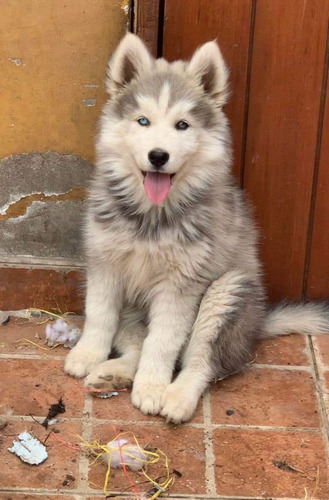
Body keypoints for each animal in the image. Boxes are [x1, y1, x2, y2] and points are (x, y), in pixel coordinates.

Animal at [65, 32, 328, 422]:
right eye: (143, 121)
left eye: (182, 125)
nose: (158, 156)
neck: (152, 216)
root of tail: (259, 322)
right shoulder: (105, 263)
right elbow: (99, 316)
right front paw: (87, 354)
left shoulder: (181, 284)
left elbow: (163, 343)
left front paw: (153, 387)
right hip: (136, 305)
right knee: (137, 345)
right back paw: (113, 373)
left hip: (227, 293)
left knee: (201, 362)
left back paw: (177, 396)